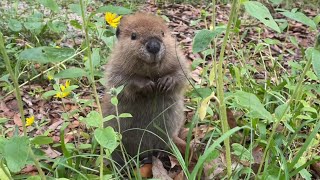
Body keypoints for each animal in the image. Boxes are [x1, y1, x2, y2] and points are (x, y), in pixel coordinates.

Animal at [102, 12, 188, 163]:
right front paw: (147, 85)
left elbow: (181, 73)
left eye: (162, 33)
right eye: (133, 35)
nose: (154, 46)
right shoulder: (115, 63)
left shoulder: (177, 55)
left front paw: (165, 82)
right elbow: (119, 80)